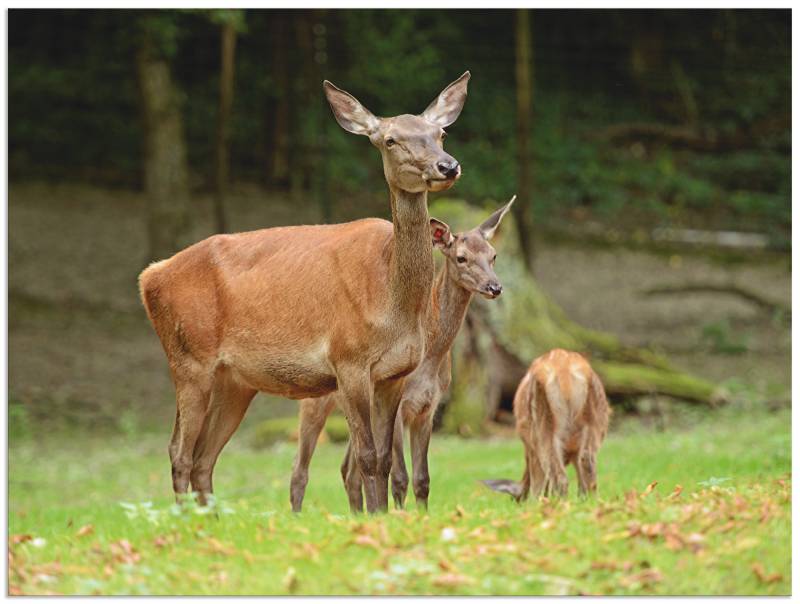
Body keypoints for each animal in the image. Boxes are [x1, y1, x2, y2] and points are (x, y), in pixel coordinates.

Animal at [141, 72, 472, 516]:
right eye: (390, 140)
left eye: (440, 133)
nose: (447, 165)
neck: (393, 302)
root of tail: (149, 277)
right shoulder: (348, 360)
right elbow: (367, 457)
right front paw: (372, 517)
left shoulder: (395, 373)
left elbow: (385, 460)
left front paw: (381, 516)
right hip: (189, 359)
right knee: (179, 451)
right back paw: (188, 522)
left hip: (235, 380)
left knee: (203, 457)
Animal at [290, 197, 516, 510]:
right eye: (461, 258)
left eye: (493, 255)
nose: (494, 287)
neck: (430, 359)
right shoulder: (399, 403)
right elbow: (400, 477)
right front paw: (399, 514)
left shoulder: (428, 407)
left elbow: (422, 479)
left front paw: (419, 515)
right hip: (314, 399)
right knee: (299, 470)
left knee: (348, 469)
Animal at [482, 350, 612, 500]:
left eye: (514, 497)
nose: (518, 501)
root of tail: (564, 373)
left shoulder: (530, 447)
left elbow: (538, 483)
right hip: (595, 420)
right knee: (587, 464)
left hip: (541, 425)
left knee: (558, 477)